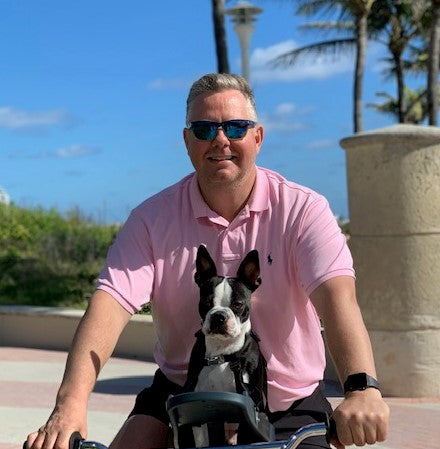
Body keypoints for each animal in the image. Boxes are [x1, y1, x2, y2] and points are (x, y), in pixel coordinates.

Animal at [183, 245, 266, 444]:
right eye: (206, 303)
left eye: (238, 304)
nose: (219, 316)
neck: (222, 353)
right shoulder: (196, 406)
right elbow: (201, 441)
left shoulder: (252, 404)